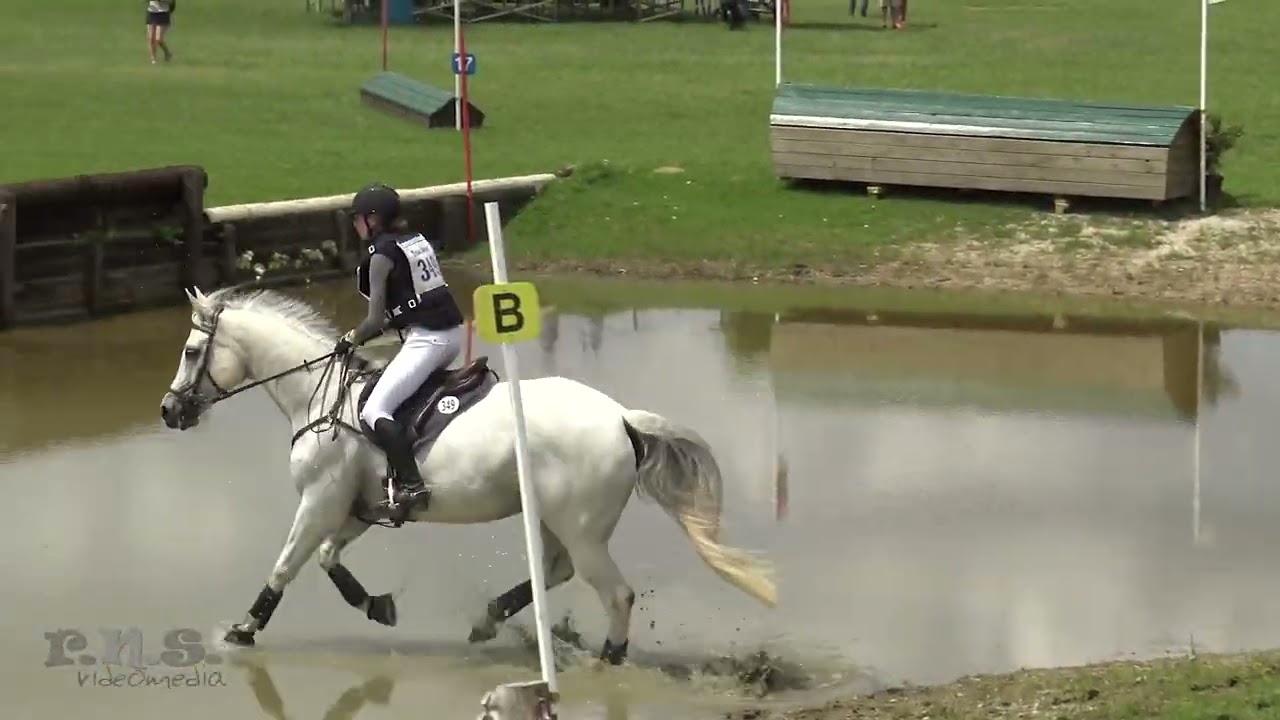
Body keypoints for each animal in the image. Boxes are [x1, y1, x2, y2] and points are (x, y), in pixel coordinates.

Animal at [158, 286, 776, 664]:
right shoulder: (357, 507)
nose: (167, 411)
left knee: (615, 593)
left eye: (189, 351)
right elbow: (331, 559)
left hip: (580, 526)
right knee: (556, 569)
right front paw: (377, 606)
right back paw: (487, 620)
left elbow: (287, 565)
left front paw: (242, 630)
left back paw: (609, 660)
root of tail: (621, 416)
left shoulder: (319, 501)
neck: (318, 399)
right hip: (554, 515)